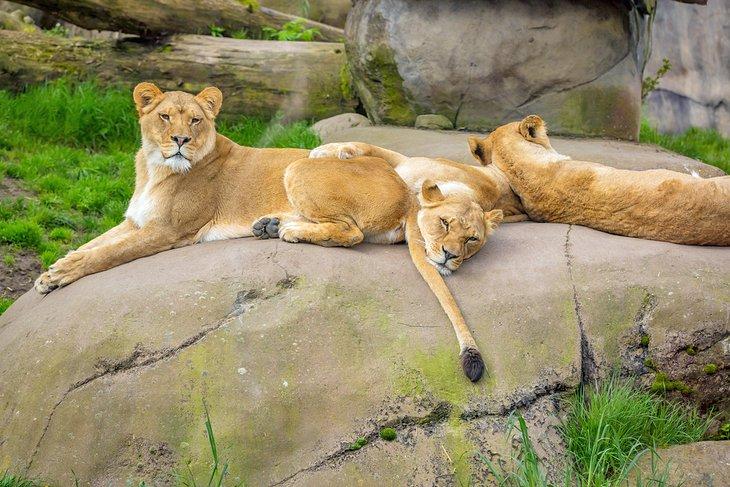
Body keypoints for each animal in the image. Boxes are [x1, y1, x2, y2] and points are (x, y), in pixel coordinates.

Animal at [34, 83, 499, 381]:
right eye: (164, 116)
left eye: (196, 120)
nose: (181, 140)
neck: (154, 167)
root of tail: (406, 193)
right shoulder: (134, 221)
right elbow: (92, 243)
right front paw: (50, 271)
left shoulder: (167, 231)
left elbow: (105, 254)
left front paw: (59, 275)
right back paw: (270, 225)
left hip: (300, 168)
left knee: (350, 234)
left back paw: (286, 230)